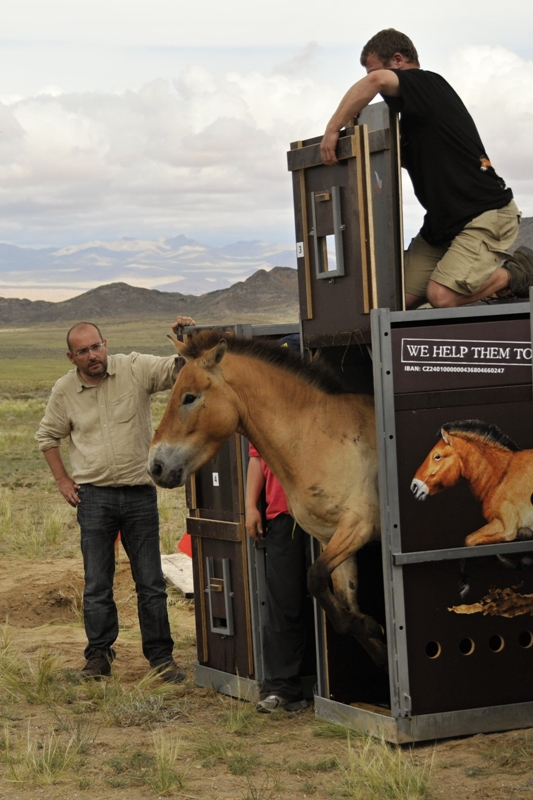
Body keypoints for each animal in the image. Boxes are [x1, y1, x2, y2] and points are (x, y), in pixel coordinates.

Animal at [148, 330, 384, 668]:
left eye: (189, 397)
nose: (155, 466)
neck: (319, 435)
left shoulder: (358, 527)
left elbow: (315, 578)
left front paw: (371, 628)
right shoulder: (333, 538)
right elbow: (343, 605)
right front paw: (373, 634)